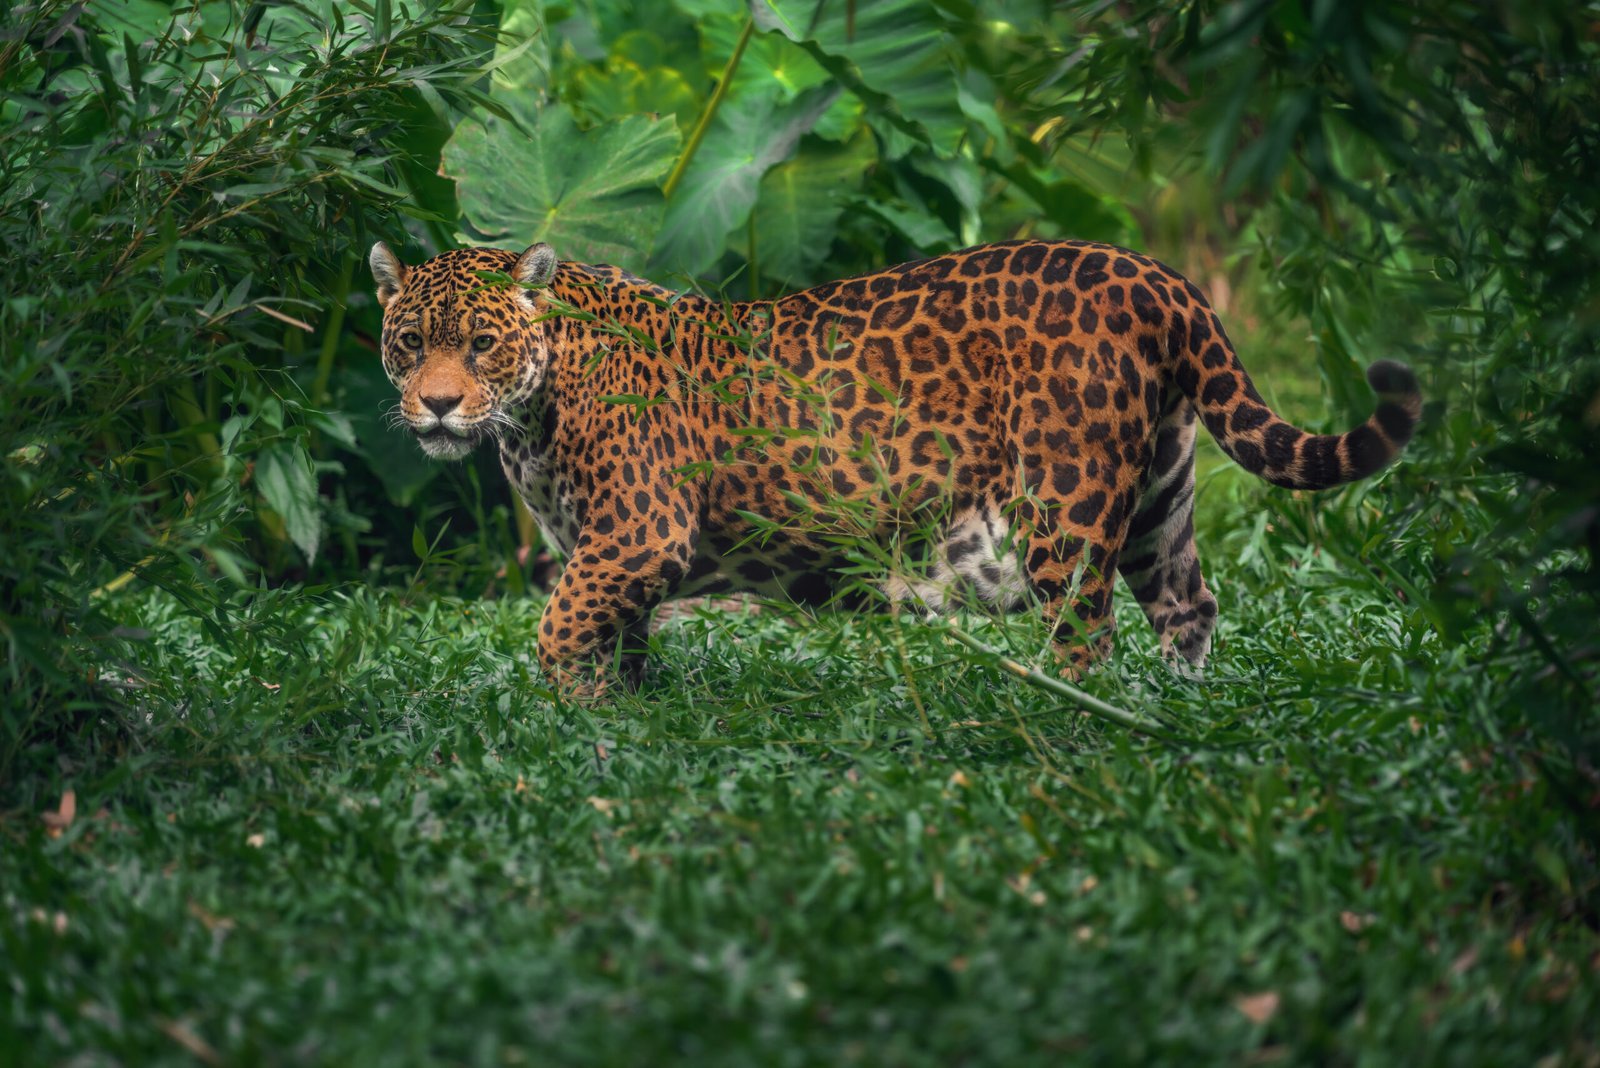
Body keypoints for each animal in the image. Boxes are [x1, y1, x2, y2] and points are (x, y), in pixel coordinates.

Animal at [368, 239, 1420, 693]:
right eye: (412, 341)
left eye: (481, 344)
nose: (438, 404)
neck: (533, 402)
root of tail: (1155, 273)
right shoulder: (609, 557)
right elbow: (610, 643)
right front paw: (623, 718)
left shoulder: (635, 536)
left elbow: (556, 631)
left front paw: (574, 716)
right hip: (1163, 488)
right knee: (1189, 604)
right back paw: (1178, 713)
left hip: (1065, 505)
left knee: (1088, 632)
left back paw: (1076, 720)